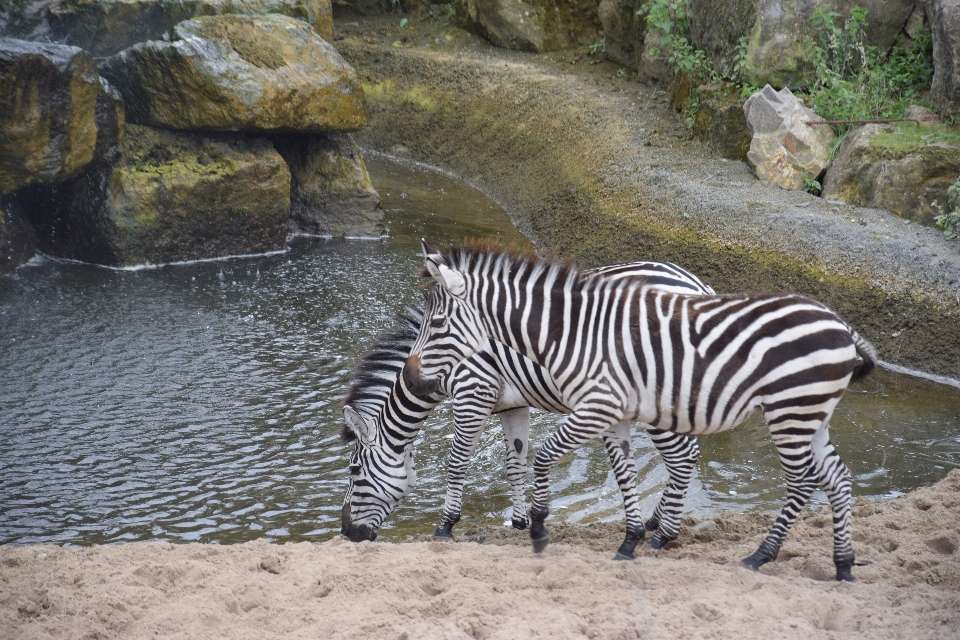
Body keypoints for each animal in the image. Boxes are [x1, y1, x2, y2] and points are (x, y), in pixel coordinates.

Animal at [344, 260, 712, 544]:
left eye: (354, 471)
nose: (347, 533)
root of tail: (697, 284)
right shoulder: (512, 405)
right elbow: (515, 462)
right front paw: (519, 521)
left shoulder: (473, 392)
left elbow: (457, 461)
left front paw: (446, 525)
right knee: (689, 453)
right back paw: (655, 521)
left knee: (680, 457)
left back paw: (662, 532)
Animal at [404, 240, 876, 580]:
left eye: (439, 323)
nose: (411, 377)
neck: (564, 333)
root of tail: (841, 324)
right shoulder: (600, 412)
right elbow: (617, 471)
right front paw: (625, 539)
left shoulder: (578, 404)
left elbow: (529, 457)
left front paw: (529, 526)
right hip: (811, 414)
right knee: (836, 477)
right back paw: (843, 565)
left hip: (783, 412)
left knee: (794, 481)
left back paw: (751, 553)